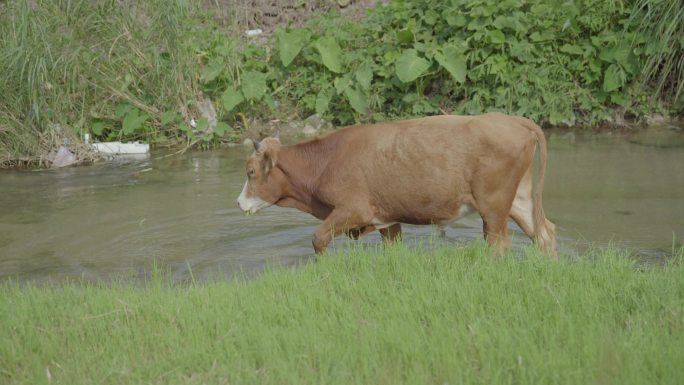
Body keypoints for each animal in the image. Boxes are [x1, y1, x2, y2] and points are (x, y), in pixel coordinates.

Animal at [235, 111, 556, 255]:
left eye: (250, 171)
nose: (238, 202)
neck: (327, 161)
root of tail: (509, 119)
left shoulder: (353, 209)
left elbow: (318, 239)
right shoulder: (386, 219)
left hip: (493, 205)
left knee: (498, 244)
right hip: (519, 200)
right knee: (544, 233)